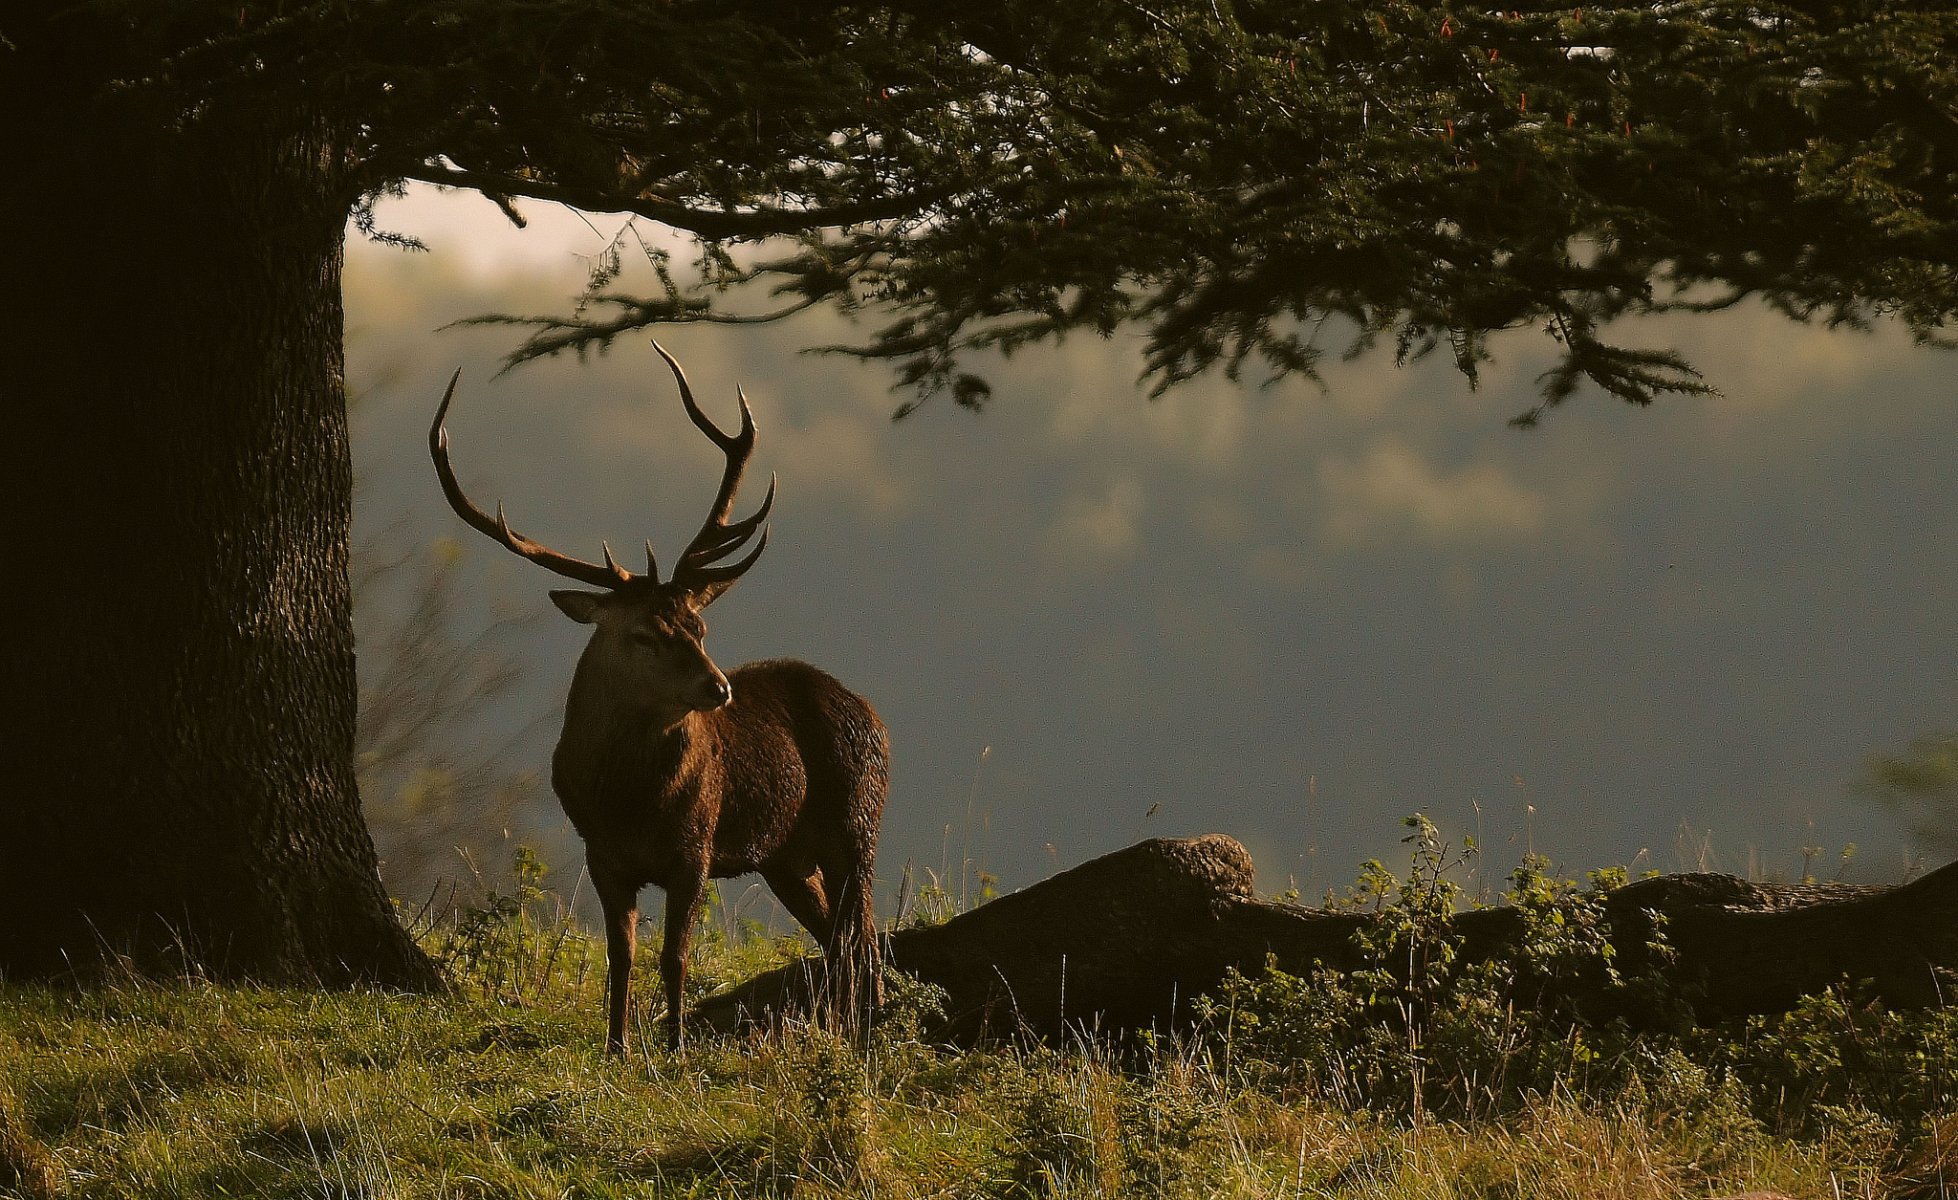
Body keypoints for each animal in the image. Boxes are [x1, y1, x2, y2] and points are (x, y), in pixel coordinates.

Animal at [432, 338, 892, 1049]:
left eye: (699, 625)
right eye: (644, 634)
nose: (719, 687)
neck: (630, 799)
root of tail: (871, 712)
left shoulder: (695, 846)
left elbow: (675, 954)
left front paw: (673, 1045)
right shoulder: (601, 854)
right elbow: (621, 955)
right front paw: (617, 1045)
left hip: (857, 821)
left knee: (864, 937)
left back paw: (869, 1029)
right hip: (787, 856)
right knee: (839, 939)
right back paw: (846, 1029)